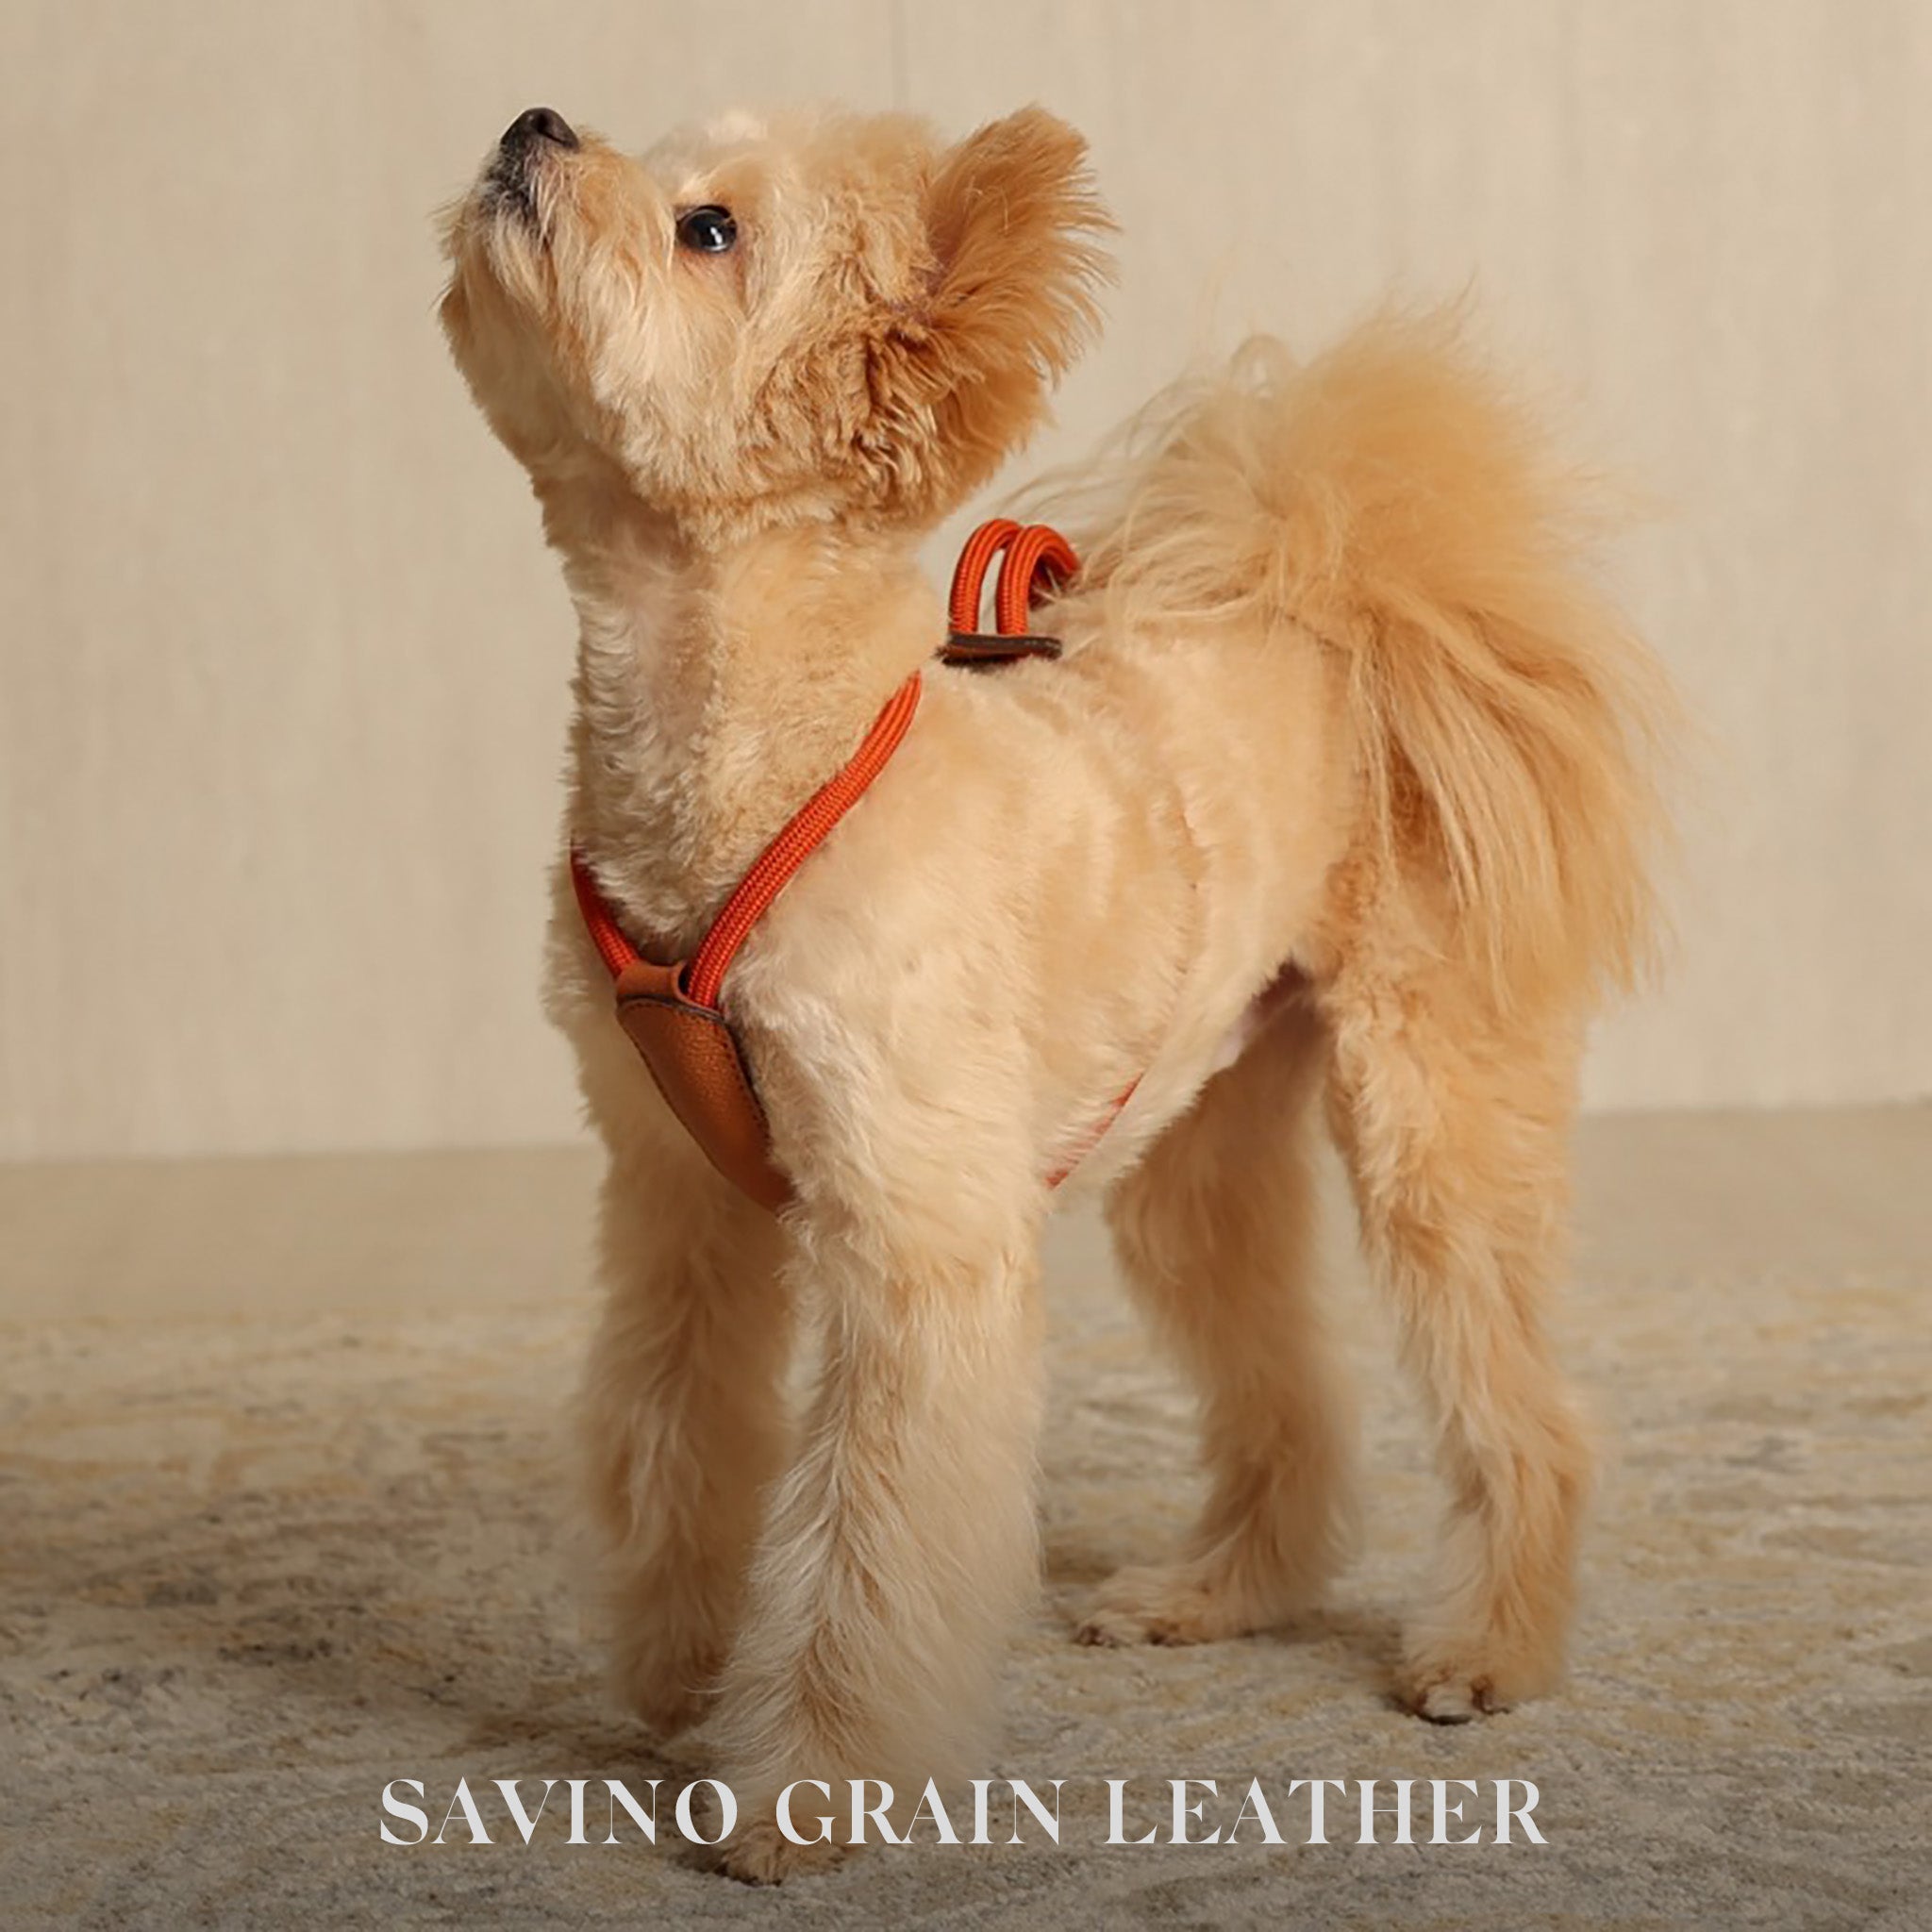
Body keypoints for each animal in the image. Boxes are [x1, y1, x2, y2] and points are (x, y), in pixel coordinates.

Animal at [440, 101, 1671, 1881]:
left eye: (708, 230)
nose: (532, 123)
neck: (760, 760)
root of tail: (1331, 605)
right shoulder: (678, 1211)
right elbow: (672, 1448)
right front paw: (681, 1685)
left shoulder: (917, 1244)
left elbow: (868, 1555)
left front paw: (803, 1792)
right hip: (1197, 1155)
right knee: (1289, 1392)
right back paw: (1213, 1592)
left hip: (1428, 1124)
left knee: (1524, 1408)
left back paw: (1488, 1646)